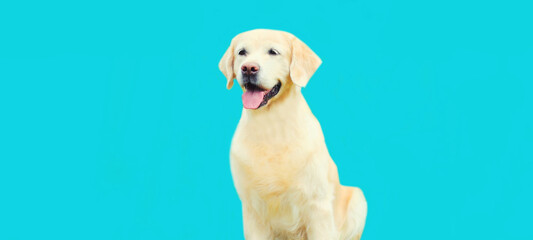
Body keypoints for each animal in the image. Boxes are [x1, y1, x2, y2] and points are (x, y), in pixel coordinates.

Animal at [218, 30, 364, 240]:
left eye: (273, 52)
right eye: (242, 52)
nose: (248, 68)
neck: (271, 125)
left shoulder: (317, 206)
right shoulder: (252, 210)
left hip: (358, 198)